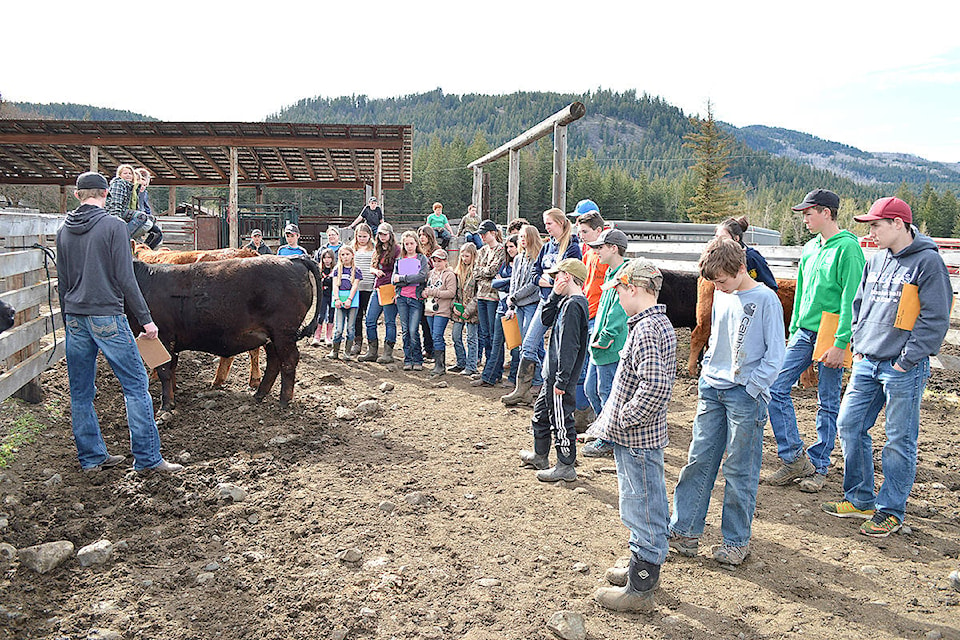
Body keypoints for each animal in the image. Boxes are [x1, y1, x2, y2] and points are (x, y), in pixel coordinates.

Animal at [127, 255, 324, 410]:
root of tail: (292, 259)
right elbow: (172, 366)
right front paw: (174, 393)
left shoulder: (163, 337)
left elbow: (164, 370)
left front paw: (166, 405)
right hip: (271, 337)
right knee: (274, 362)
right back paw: (259, 394)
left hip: (283, 333)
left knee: (288, 361)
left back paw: (284, 400)